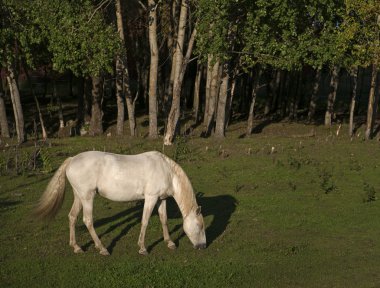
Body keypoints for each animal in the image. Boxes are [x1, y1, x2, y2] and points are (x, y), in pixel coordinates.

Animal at [35, 150, 206, 255]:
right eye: (200, 226)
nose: (203, 246)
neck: (167, 171)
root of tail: (72, 160)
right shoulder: (150, 198)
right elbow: (145, 221)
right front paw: (142, 248)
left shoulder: (161, 199)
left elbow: (163, 219)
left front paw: (169, 243)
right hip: (87, 197)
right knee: (87, 220)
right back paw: (102, 248)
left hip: (79, 196)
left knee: (72, 217)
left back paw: (76, 247)